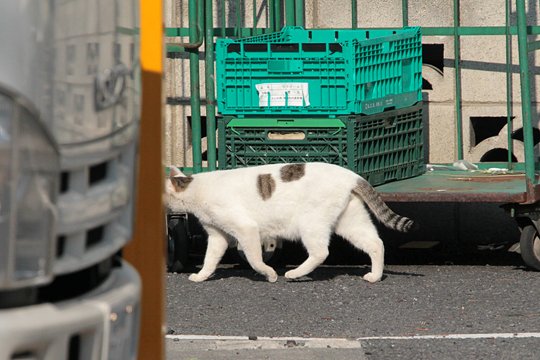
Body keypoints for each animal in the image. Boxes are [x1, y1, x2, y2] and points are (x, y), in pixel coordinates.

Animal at [167, 163, 416, 284]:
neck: (195, 188)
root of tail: (351, 175)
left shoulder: (246, 229)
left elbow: (254, 259)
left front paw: (269, 274)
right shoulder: (217, 235)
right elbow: (210, 259)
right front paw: (202, 276)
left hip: (310, 222)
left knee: (321, 252)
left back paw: (294, 274)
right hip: (350, 221)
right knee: (376, 243)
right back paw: (375, 276)